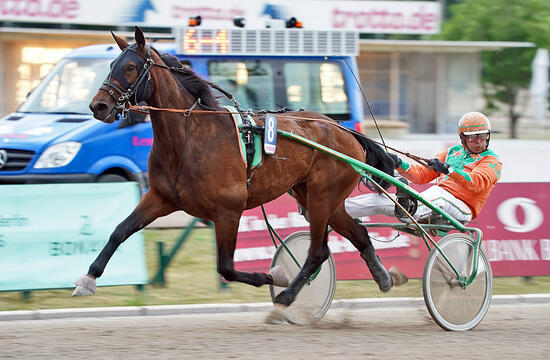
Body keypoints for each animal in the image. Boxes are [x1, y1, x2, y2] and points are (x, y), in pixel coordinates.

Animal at [75, 26, 406, 318]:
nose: (98, 106)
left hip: (323, 198)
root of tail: (344, 131)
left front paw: (277, 276)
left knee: (317, 252)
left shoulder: (228, 211)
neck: (190, 136)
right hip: (319, 199)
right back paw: (385, 278)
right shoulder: (161, 197)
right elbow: (120, 230)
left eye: (130, 67)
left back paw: (286, 297)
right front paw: (88, 279)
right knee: (358, 236)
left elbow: (226, 267)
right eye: (111, 65)